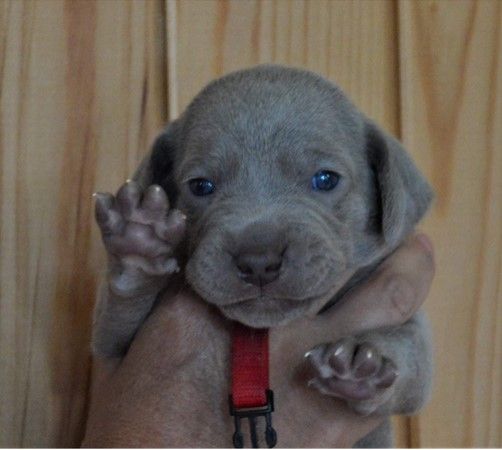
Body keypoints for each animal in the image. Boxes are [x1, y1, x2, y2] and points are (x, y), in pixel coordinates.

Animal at [93, 65, 436, 448]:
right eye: (200, 186)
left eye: (325, 179)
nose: (258, 261)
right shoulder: (114, 350)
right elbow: (117, 320)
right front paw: (138, 244)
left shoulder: (412, 332)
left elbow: (412, 354)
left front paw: (364, 366)